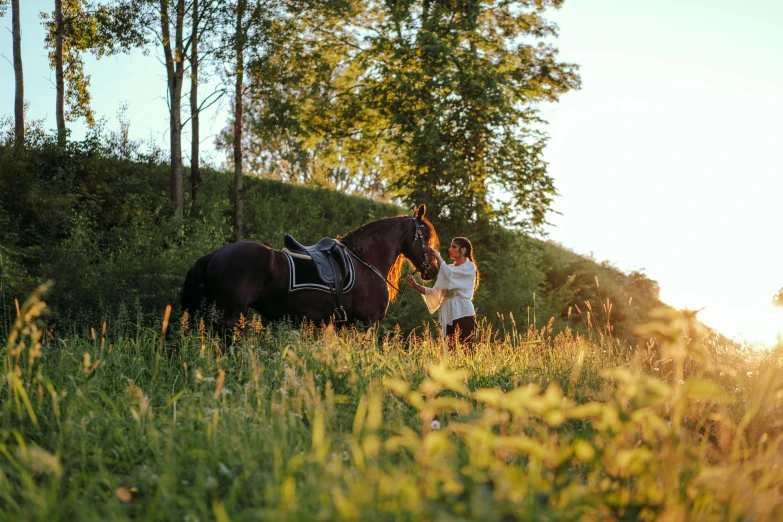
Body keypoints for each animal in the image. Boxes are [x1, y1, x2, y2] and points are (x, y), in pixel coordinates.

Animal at [181, 204, 440, 334]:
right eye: (426, 237)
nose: (434, 270)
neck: (364, 261)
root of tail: (215, 254)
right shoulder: (368, 323)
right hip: (233, 315)